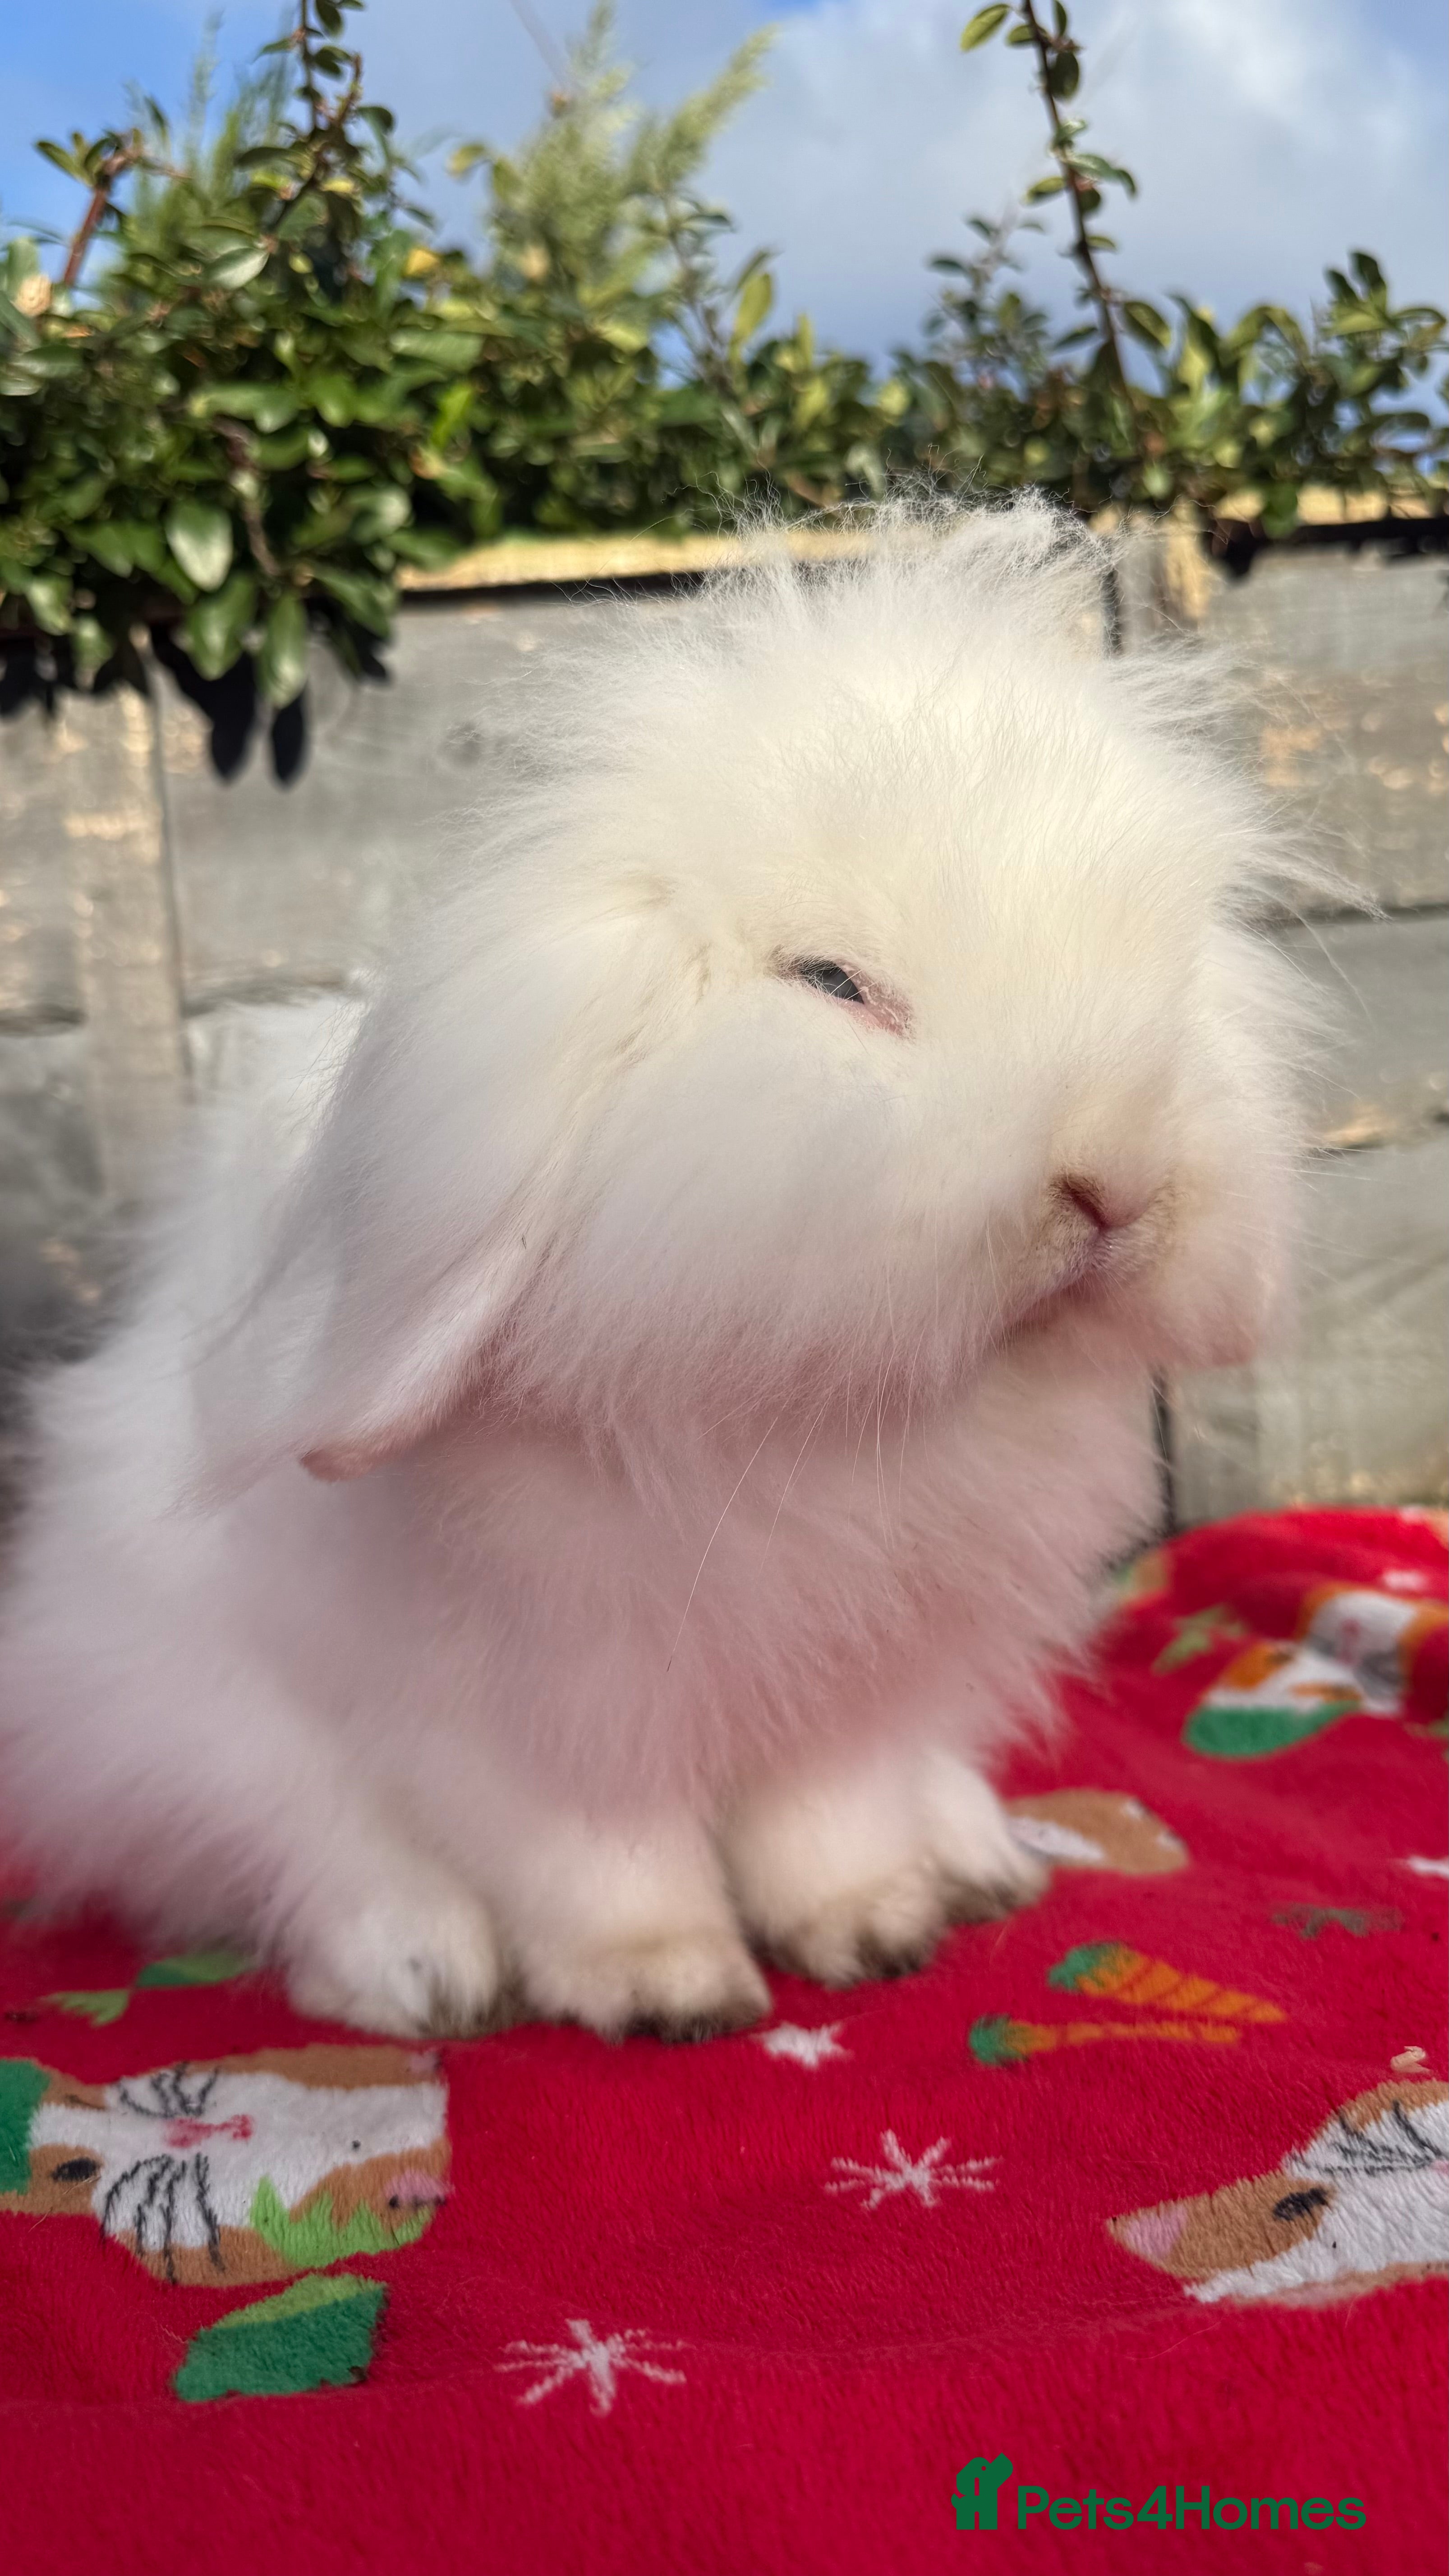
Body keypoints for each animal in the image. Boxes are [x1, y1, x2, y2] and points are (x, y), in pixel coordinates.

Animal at [0, 498, 1304, 2042]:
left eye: (1161, 968)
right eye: (830, 983)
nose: (1115, 1179)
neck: (811, 1422)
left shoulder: (856, 1689)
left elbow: (834, 1820)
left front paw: (875, 1933)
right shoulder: (525, 1719)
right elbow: (596, 1863)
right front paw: (665, 1991)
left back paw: (978, 1859)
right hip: (175, 1719)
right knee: (303, 1857)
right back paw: (416, 1976)